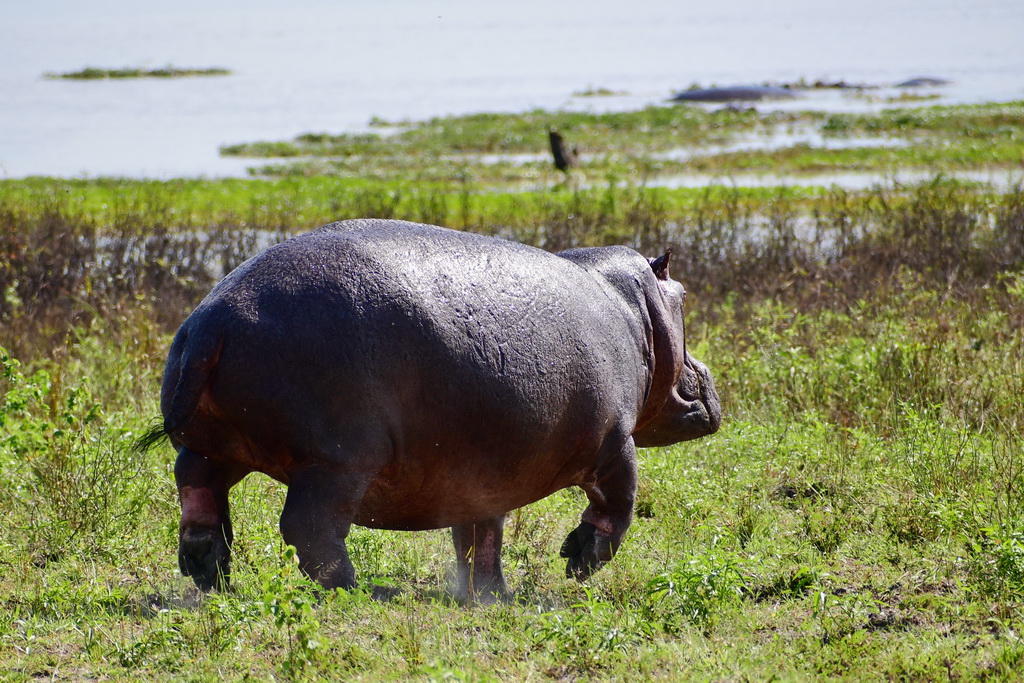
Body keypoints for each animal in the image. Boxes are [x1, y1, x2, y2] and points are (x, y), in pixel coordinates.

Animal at [142, 218, 720, 598]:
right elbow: (619, 503)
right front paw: (577, 561)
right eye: (685, 296)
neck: (633, 306)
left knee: (198, 492)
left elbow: (481, 533)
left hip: (215, 443)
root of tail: (214, 318)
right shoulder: (614, 439)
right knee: (309, 526)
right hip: (337, 461)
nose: (708, 376)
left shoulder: (482, 472)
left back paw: (209, 574)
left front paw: (489, 595)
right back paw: (355, 590)